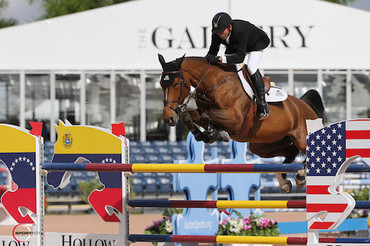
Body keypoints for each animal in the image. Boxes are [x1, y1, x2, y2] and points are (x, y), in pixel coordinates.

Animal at [158, 54, 326, 193]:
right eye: (161, 84)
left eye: (175, 84)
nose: (168, 118)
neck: (214, 83)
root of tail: (305, 105)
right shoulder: (201, 111)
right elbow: (190, 116)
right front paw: (205, 134)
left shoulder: (235, 119)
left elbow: (207, 117)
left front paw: (216, 133)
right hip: (264, 145)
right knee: (291, 151)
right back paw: (285, 182)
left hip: (301, 138)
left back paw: (301, 176)